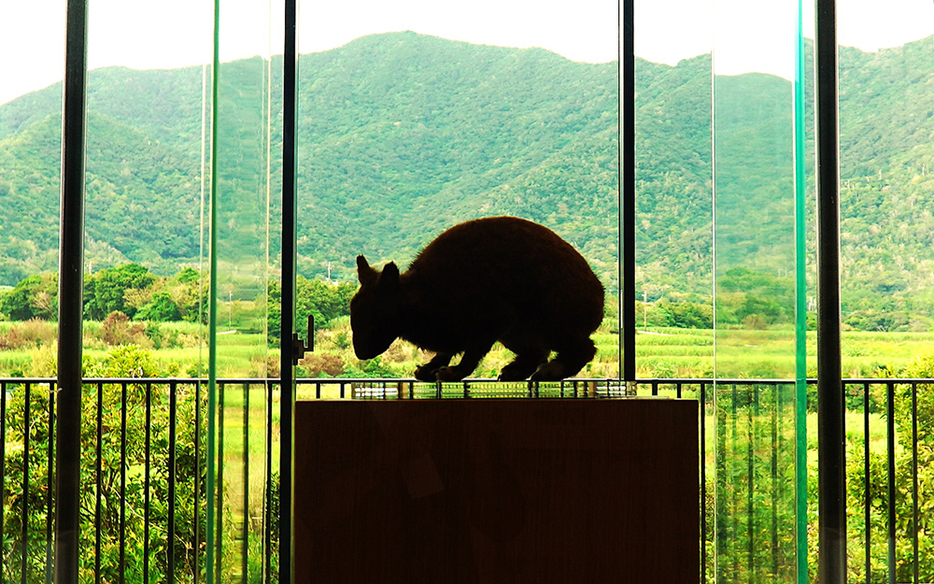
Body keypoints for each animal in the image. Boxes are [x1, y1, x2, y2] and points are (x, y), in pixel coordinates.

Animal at [352, 217, 608, 380]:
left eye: (376, 317)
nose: (361, 353)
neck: (419, 296)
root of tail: (600, 299)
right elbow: (445, 353)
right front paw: (427, 370)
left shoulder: (494, 321)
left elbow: (472, 354)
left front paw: (452, 374)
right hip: (515, 335)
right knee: (538, 352)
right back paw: (514, 372)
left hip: (549, 324)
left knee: (584, 349)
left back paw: (551, 372)